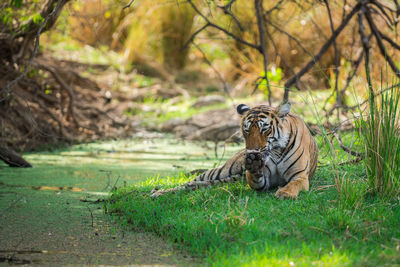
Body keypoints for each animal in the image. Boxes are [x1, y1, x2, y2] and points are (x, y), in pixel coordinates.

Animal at [150, 103, 318, 200]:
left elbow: (293, 184)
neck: (275, 151)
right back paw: (158, 193)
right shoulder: (263, 182)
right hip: (222, 171)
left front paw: (285, 193)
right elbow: (255, 178)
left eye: (264, 129)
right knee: (189, 182)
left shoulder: (300, 176)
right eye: (247, 130)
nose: (252, 151)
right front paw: (254, 164)